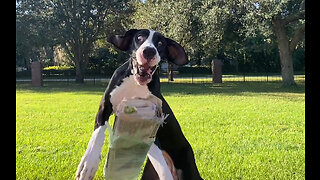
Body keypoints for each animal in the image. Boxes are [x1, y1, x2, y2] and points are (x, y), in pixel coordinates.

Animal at [75, 29, 202, 180]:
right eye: (139, 37)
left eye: (160, 43)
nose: (149, 51)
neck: (135, 83)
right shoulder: (104, 107)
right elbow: (97, 134)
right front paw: (88, 164)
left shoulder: (150, 124)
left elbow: (161, 165)